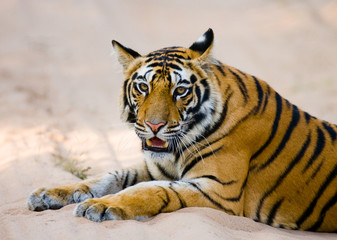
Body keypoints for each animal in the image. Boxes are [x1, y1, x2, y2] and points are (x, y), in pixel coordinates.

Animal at [26, 28, 336, 232]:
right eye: (143, 87)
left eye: (180, 91)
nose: (154, 125)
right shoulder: (155, 167)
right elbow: (109, 176)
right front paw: (49, 193)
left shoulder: (218, 190)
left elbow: (151, 190)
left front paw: (99, 206)